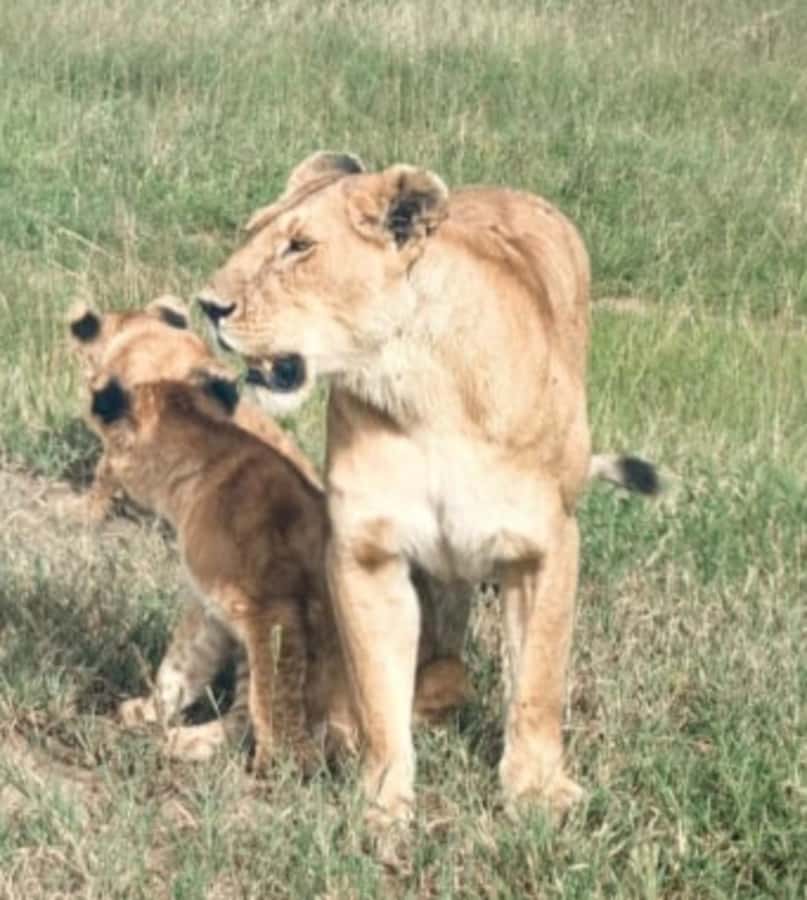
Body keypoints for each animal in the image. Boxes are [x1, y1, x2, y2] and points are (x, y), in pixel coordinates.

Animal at [86, 371, 472, 770]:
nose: (101, 472)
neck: (198, 476)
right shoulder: (210, 607)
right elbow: (179, 666)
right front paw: (148, 711)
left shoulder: (274, 607)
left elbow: (272, 697)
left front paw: (281, 764)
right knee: (239, 716)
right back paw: (181, 742)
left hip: (449, 671)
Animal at [197, 151, 659, 823]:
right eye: (251, 233)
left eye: (299, 247)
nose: (208, 306)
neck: (422, 393)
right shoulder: (367, 550)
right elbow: (377, 689)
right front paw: (385, 806)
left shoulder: (544, 545)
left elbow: (539, 679)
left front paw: (536, 792)